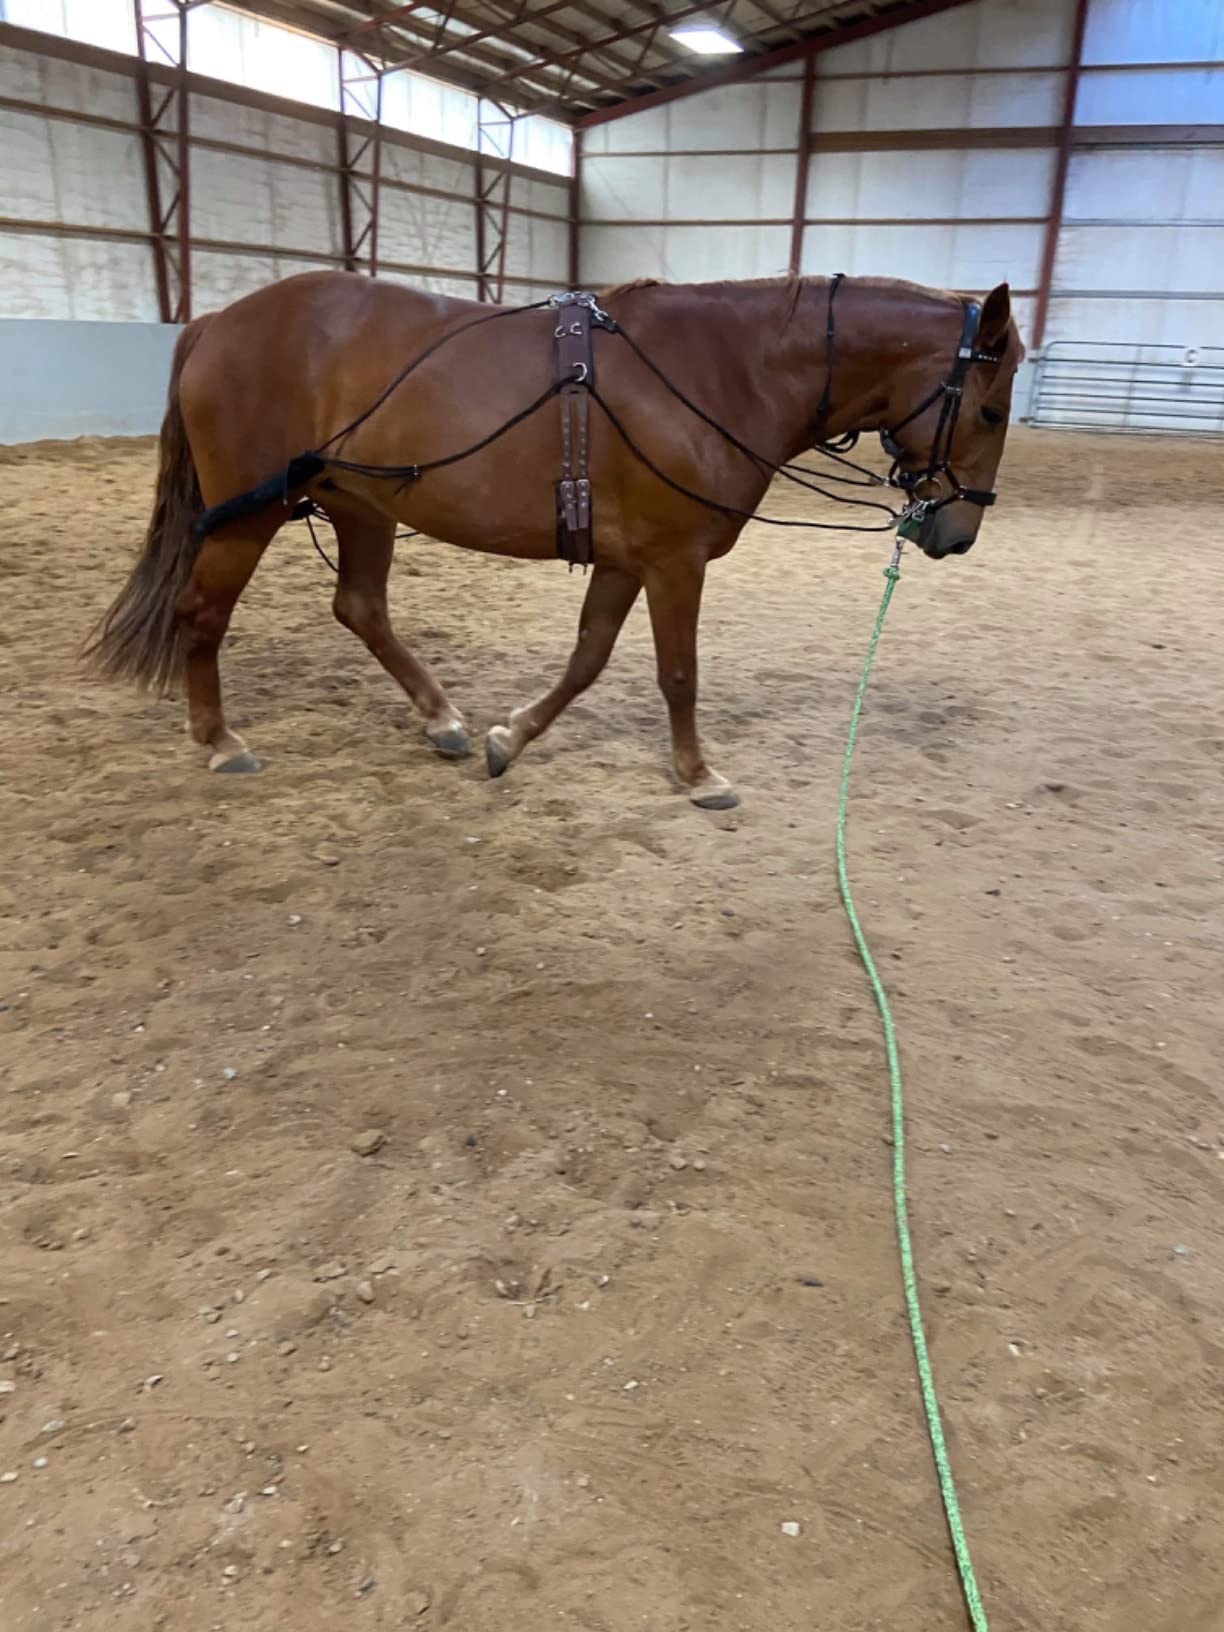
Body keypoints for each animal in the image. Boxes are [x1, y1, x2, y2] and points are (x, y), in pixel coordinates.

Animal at [86, 272, 1024, 809]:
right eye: (989, 410)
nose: (960, 532)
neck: (724, 366)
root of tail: (217, 321)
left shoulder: (624, 558)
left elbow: (587, 659)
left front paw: (512, 737)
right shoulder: (673, 560)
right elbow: (678, 674)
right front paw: (697, 776)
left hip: (360, 507)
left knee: (360, 609)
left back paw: (442, 719)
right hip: (248, 516)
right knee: (202, 613)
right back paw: (220, 743)